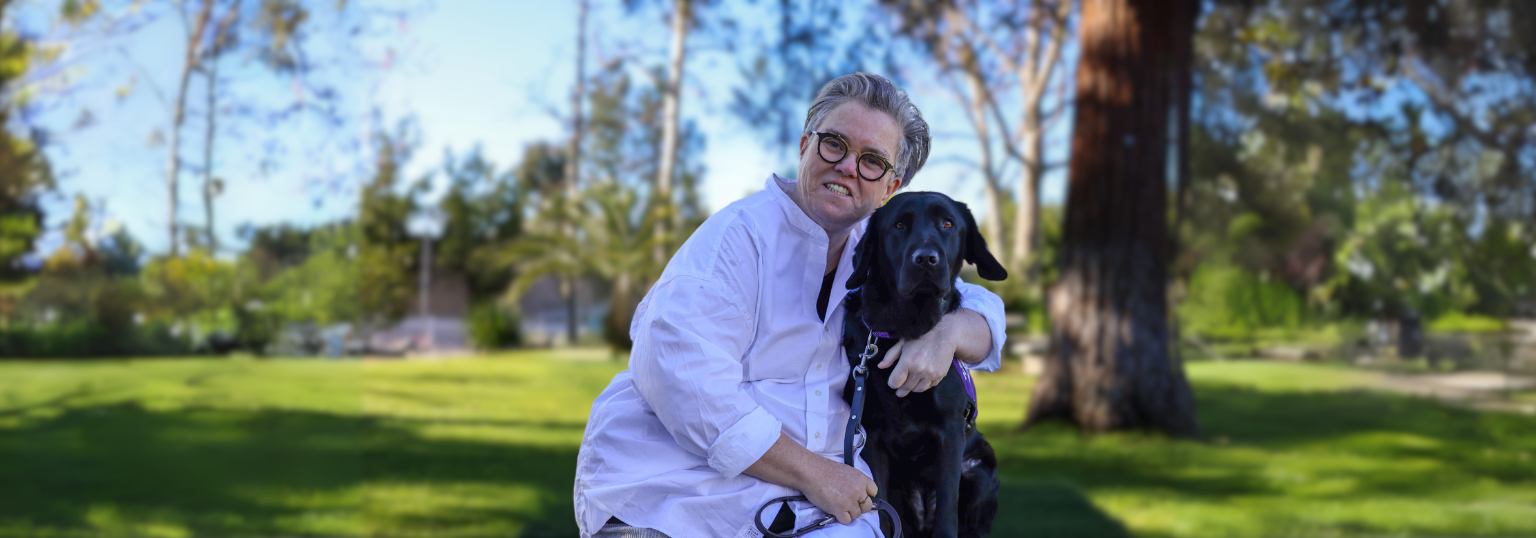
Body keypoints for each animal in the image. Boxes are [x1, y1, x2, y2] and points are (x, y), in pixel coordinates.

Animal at [841, 192, 1007, 538]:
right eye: (899, 225)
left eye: (948, 224)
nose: (926, 259)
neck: (907, 327)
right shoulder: (871, 434)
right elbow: (884, 515)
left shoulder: (950, 430)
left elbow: (947, 512)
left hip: (980, 473)